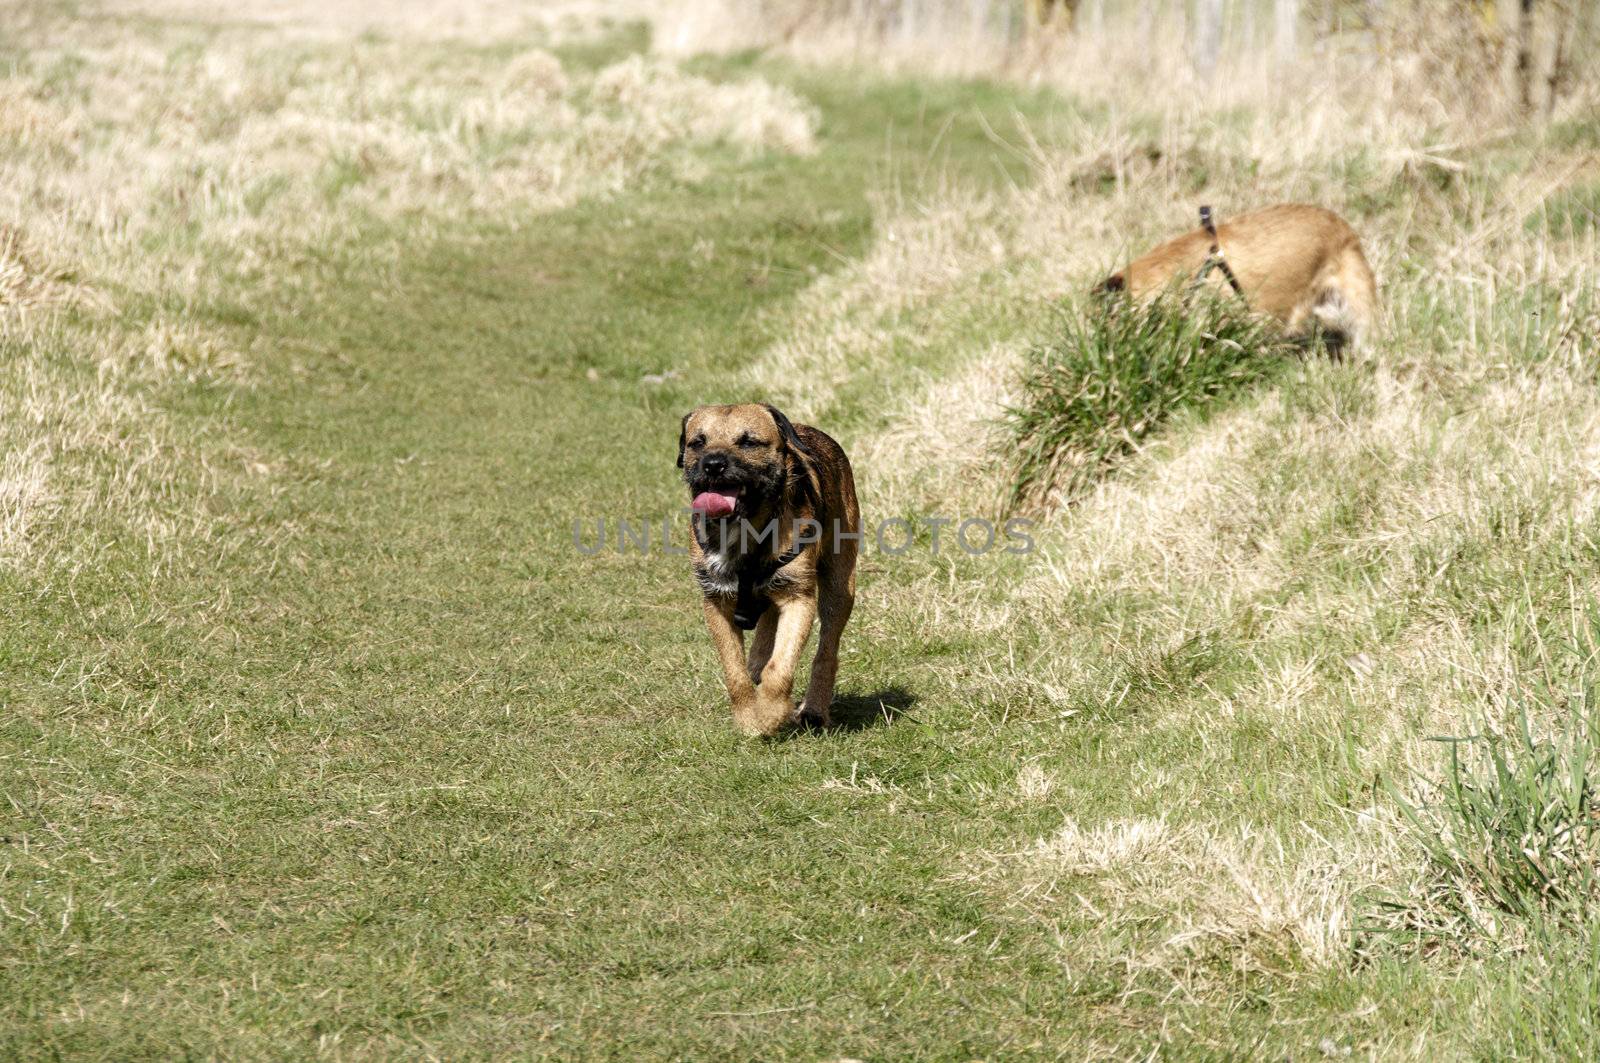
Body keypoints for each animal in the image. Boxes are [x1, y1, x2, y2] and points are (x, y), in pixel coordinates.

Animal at [678, 403, 864, 736]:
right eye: (697, 442)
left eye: (748, 442)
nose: (713, 464)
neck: (746, 530)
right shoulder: (715, 603)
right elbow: (734, 670)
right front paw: (748, 719)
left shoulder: (798, 599)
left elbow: (781, 667)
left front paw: (770, 713)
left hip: (839, 585)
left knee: (826, 650)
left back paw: (814, 710)